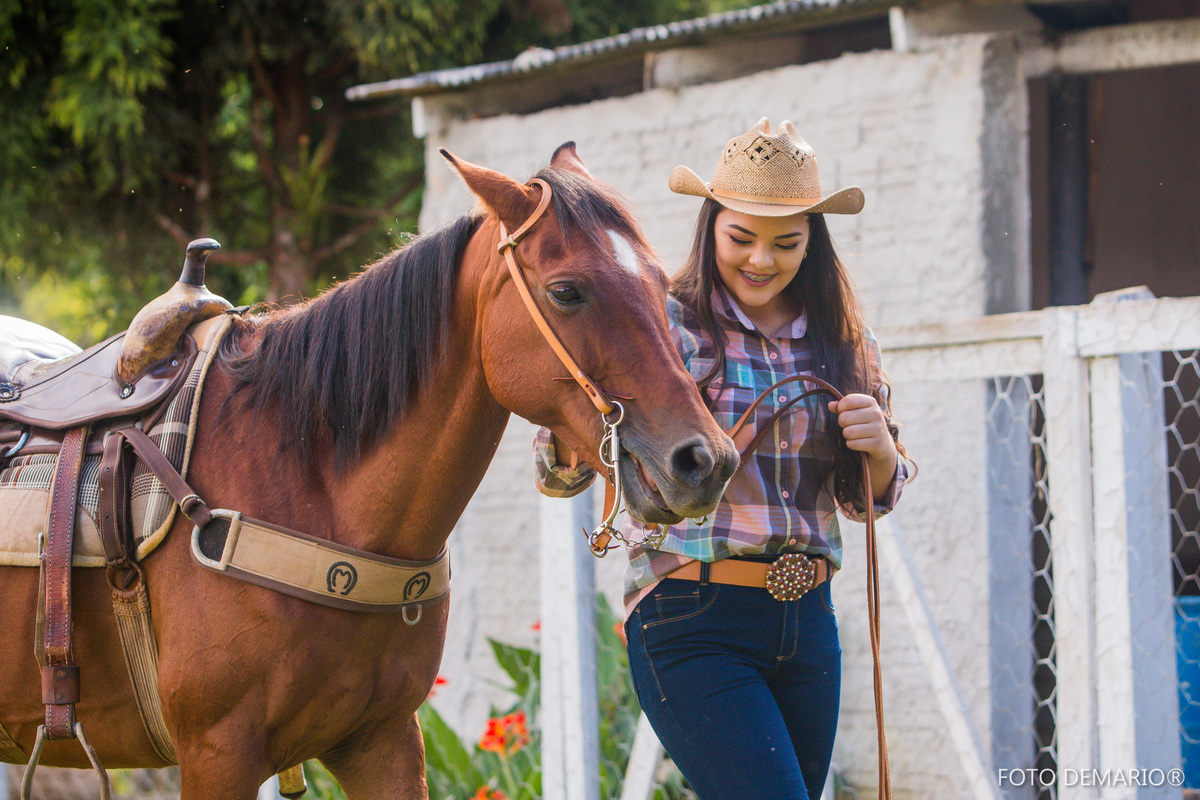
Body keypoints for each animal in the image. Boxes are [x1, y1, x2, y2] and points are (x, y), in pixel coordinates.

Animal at [0, 144, 739, 798]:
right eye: (567, 291)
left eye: (662, 286)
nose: (705, 460)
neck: (301, 478)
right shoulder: (218, 752)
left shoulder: (381, 740)